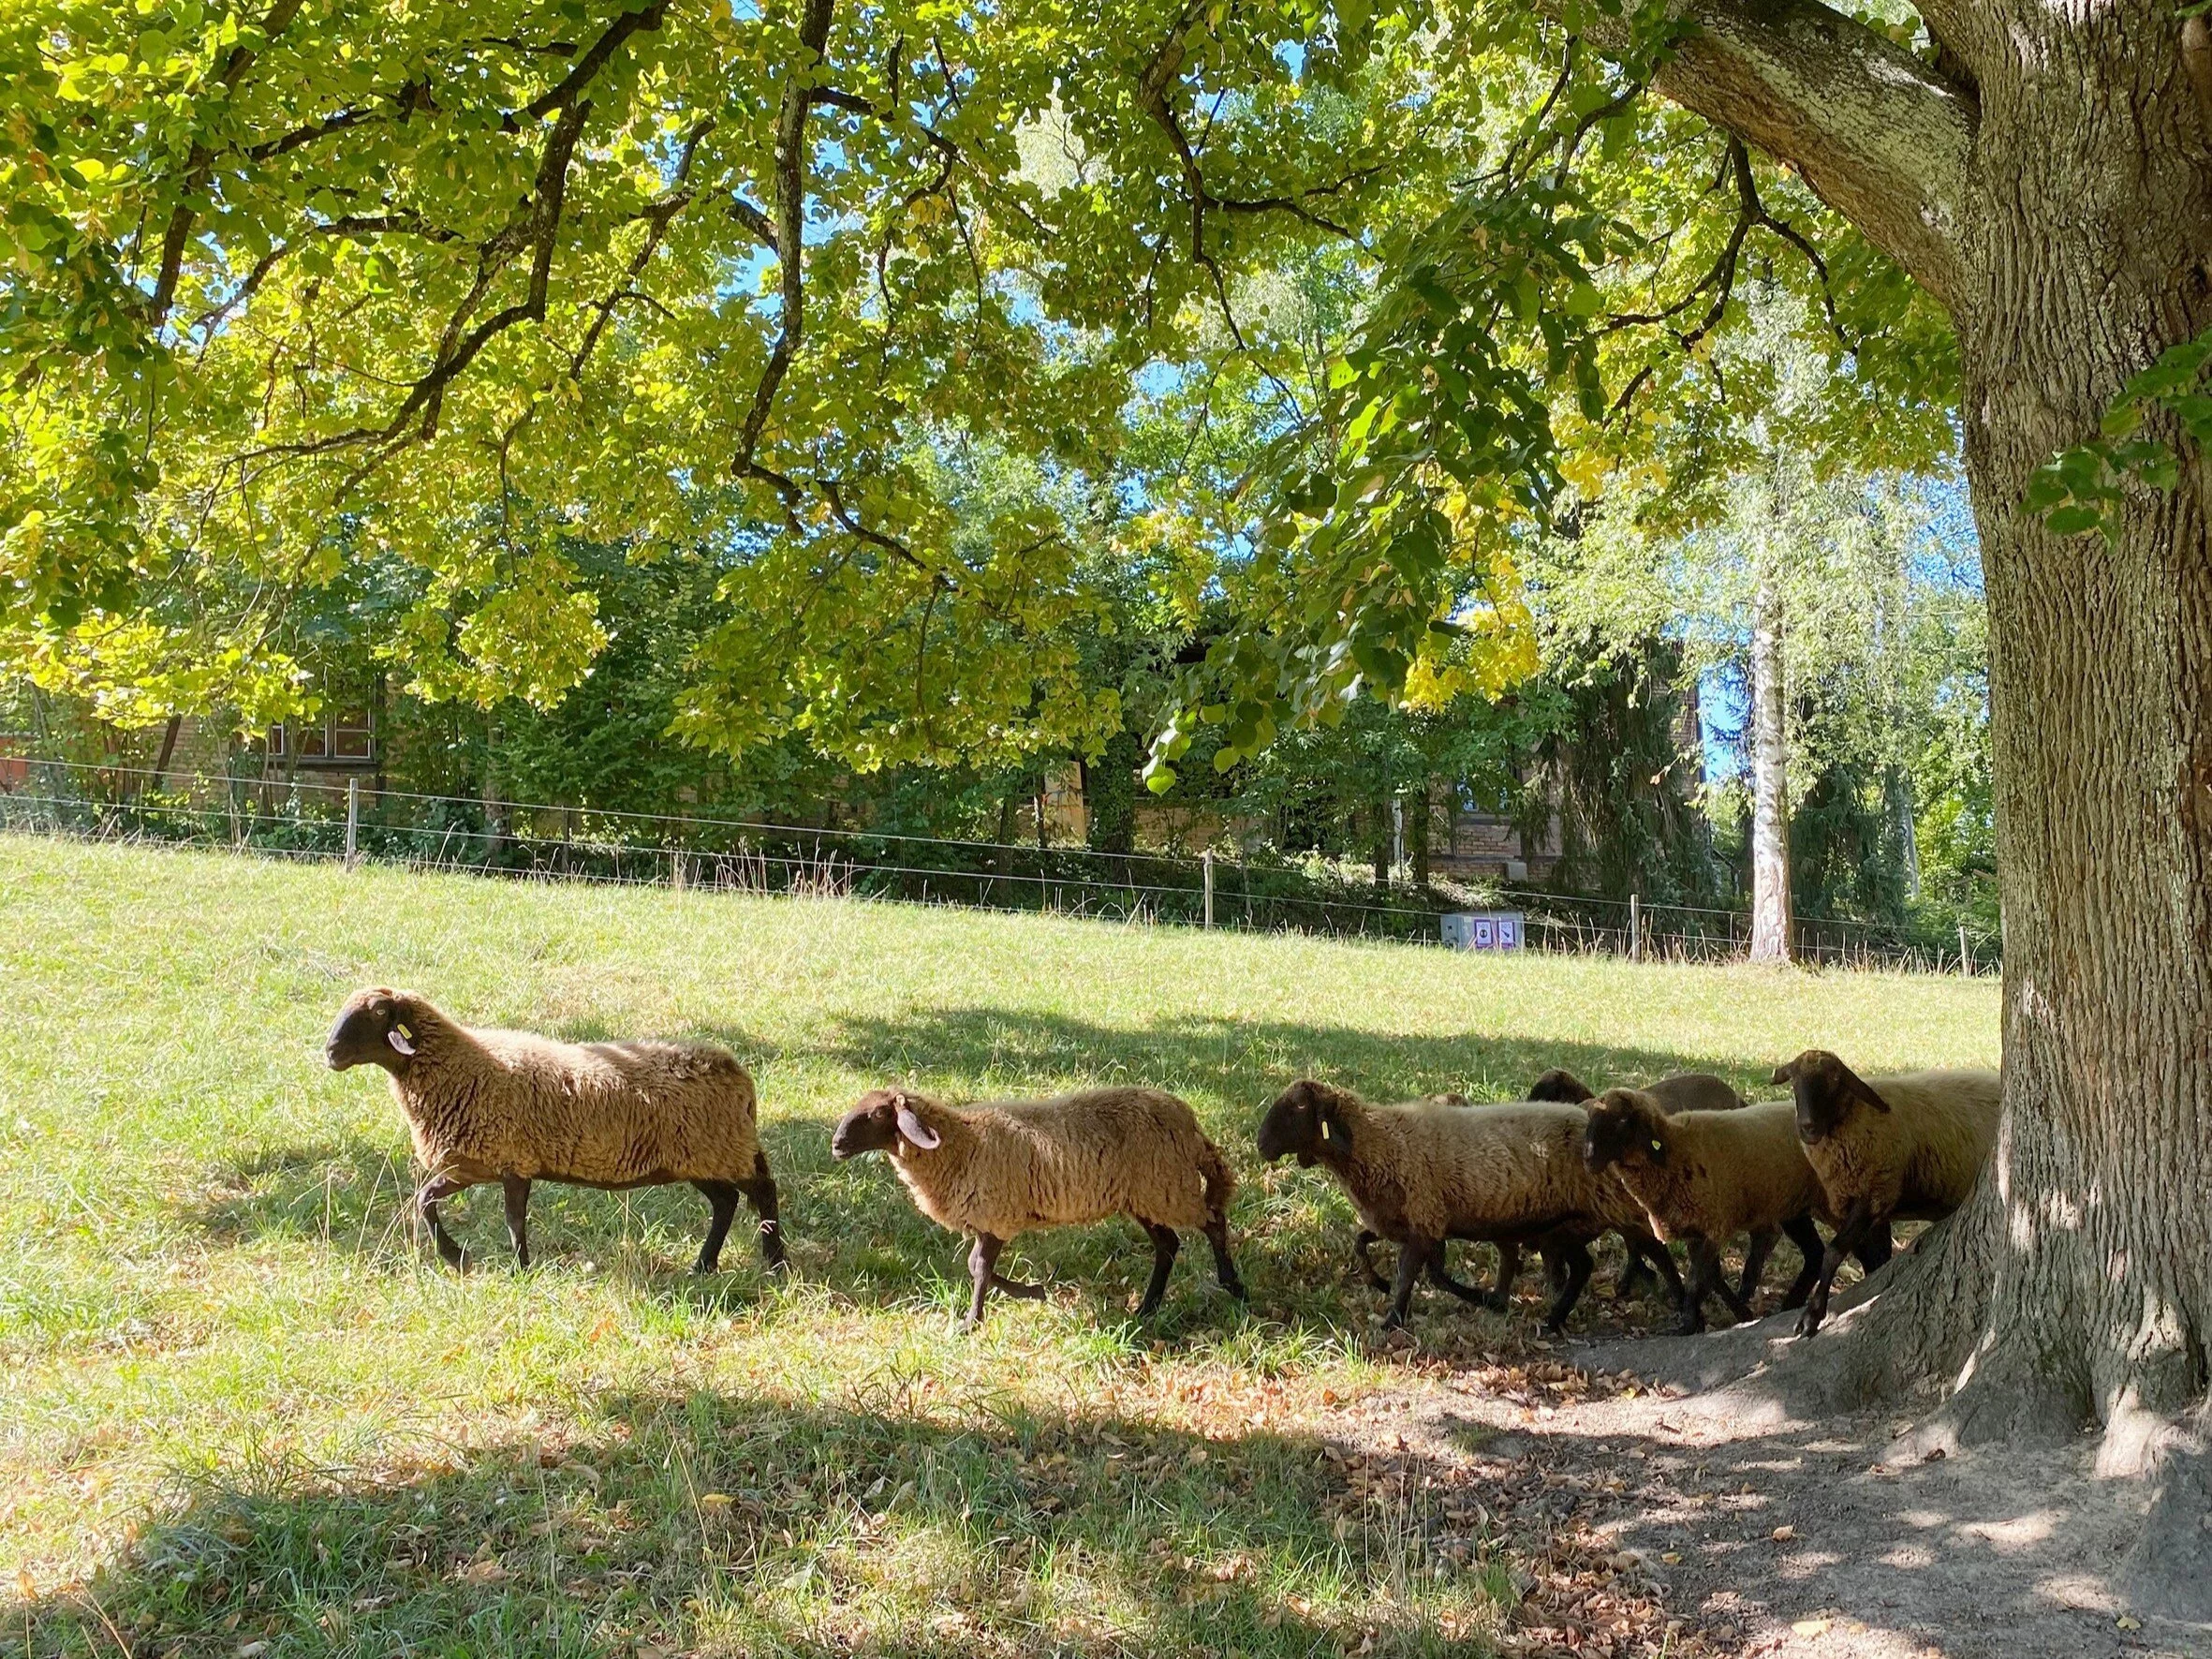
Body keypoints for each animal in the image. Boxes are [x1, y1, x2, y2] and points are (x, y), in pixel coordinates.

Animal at [322, 995, 783, 1282]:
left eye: (378, 1013)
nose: (329, 1052)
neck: (461, 1066)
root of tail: (737, 1073)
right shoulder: (474, 1165)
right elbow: (425, 1201)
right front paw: (460, 1258)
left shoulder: (513, 1162)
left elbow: (513, 1220)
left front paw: (516, 1270)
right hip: (702, 1158)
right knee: (726, 1202)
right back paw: (703, 1267)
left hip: (721, 1149)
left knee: (762, 1191)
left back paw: (774, 1262)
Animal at [832, 1084, 1247, 1336]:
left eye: (878, 1114)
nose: (836, 1145)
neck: (962, 1142)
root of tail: (1189, 1123)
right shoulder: (988, 1220)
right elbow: (976, 1266)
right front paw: (1032, 1292)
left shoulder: (997, 1215)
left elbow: (979, 1268)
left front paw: (972, 1322)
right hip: (1147, 1195)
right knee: (1168, 1244)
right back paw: (1146, 1308)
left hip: (1168, 1187)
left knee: (1213, 1222)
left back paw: (1233, 1286)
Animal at [1265, 1079, 1672, 1336]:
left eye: (1299, 1106)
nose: (1261, 1144)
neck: (1379, 1142)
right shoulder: (1409, 1223)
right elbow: (1364, 1244)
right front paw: (1380, 1284)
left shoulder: (1424, 1218)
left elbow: (1414, 1274)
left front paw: (1393, 1319)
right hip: (1565, 1225)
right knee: (1584, 1265)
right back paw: (1554, 1318)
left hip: (1611, 1211)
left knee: (1652, 1249)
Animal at [1584, 1092, 1840, 1336]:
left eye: (1623, 1120)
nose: (1588, 1158)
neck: (1674, 1149)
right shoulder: (1695, 1231)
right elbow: (1709, 1276)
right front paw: (1710, 1318)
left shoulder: (1714, 1225)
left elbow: (1697, 1280)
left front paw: (1689, 1325)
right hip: (1794, 1206)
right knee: (1815, 1252)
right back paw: (1789, 1305)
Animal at [1761, 1052, 2008, 1336]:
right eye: (1793, 1082)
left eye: (1835, 1080)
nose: (1807, 1127)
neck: (1860, 1116)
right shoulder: (1871, 1205)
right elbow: (1875, 1259)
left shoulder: (1874, 1194)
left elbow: (1833, 1252)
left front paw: (1812, 1315)